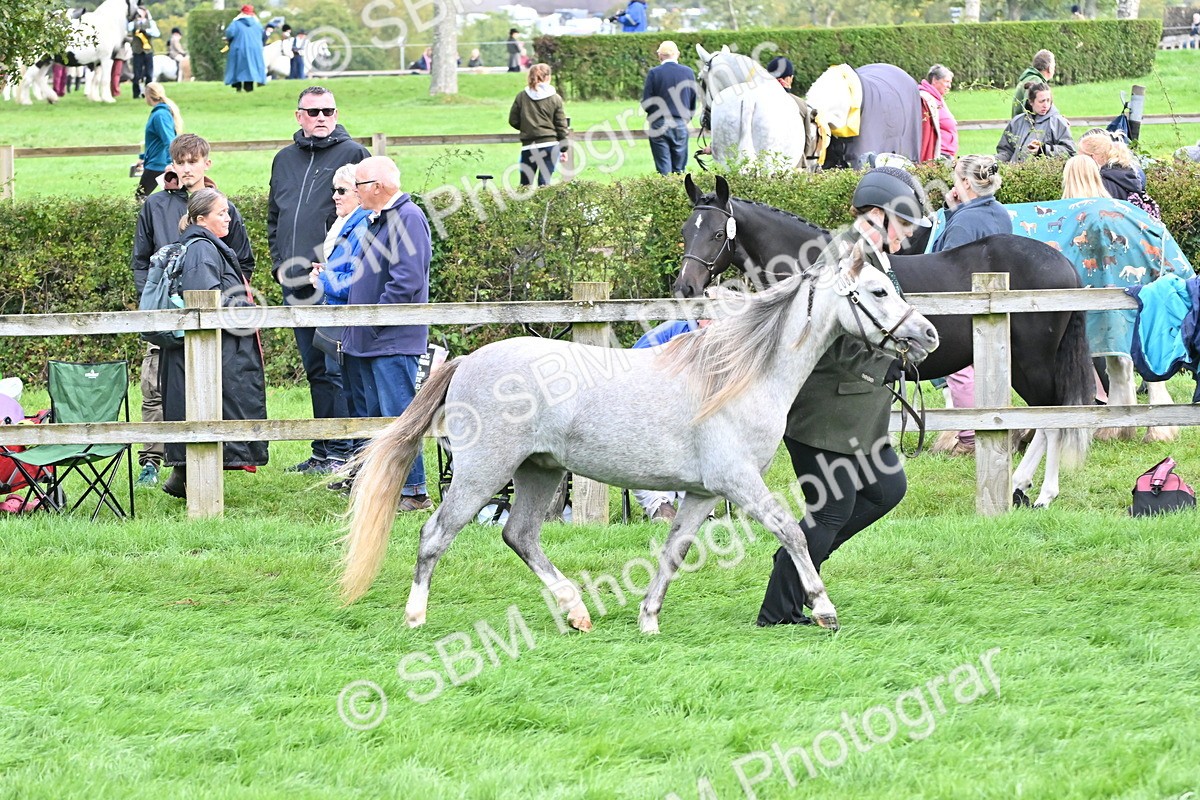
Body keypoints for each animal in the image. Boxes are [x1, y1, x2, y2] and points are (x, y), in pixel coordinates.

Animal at [339, 245, 939, 635]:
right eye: (878, 291)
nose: (927, 334)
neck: (738, 376)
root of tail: (466, 361)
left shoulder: (701, 493)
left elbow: (674, 550)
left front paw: (648, 618)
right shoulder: (739, 482)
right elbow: (792, 532)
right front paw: (823, 608)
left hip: (540, 472)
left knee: (520, 535)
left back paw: (576, 612)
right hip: (483, 473)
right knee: (435, 535)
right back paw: (415, 617)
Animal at [674, 175, 1094, 509]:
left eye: (717, 233)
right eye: (685, 231)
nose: (685, 286)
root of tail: (1063, 264)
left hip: (1032, 363)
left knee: (1053, 419)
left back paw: (1042, 492)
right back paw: (1023, 486)